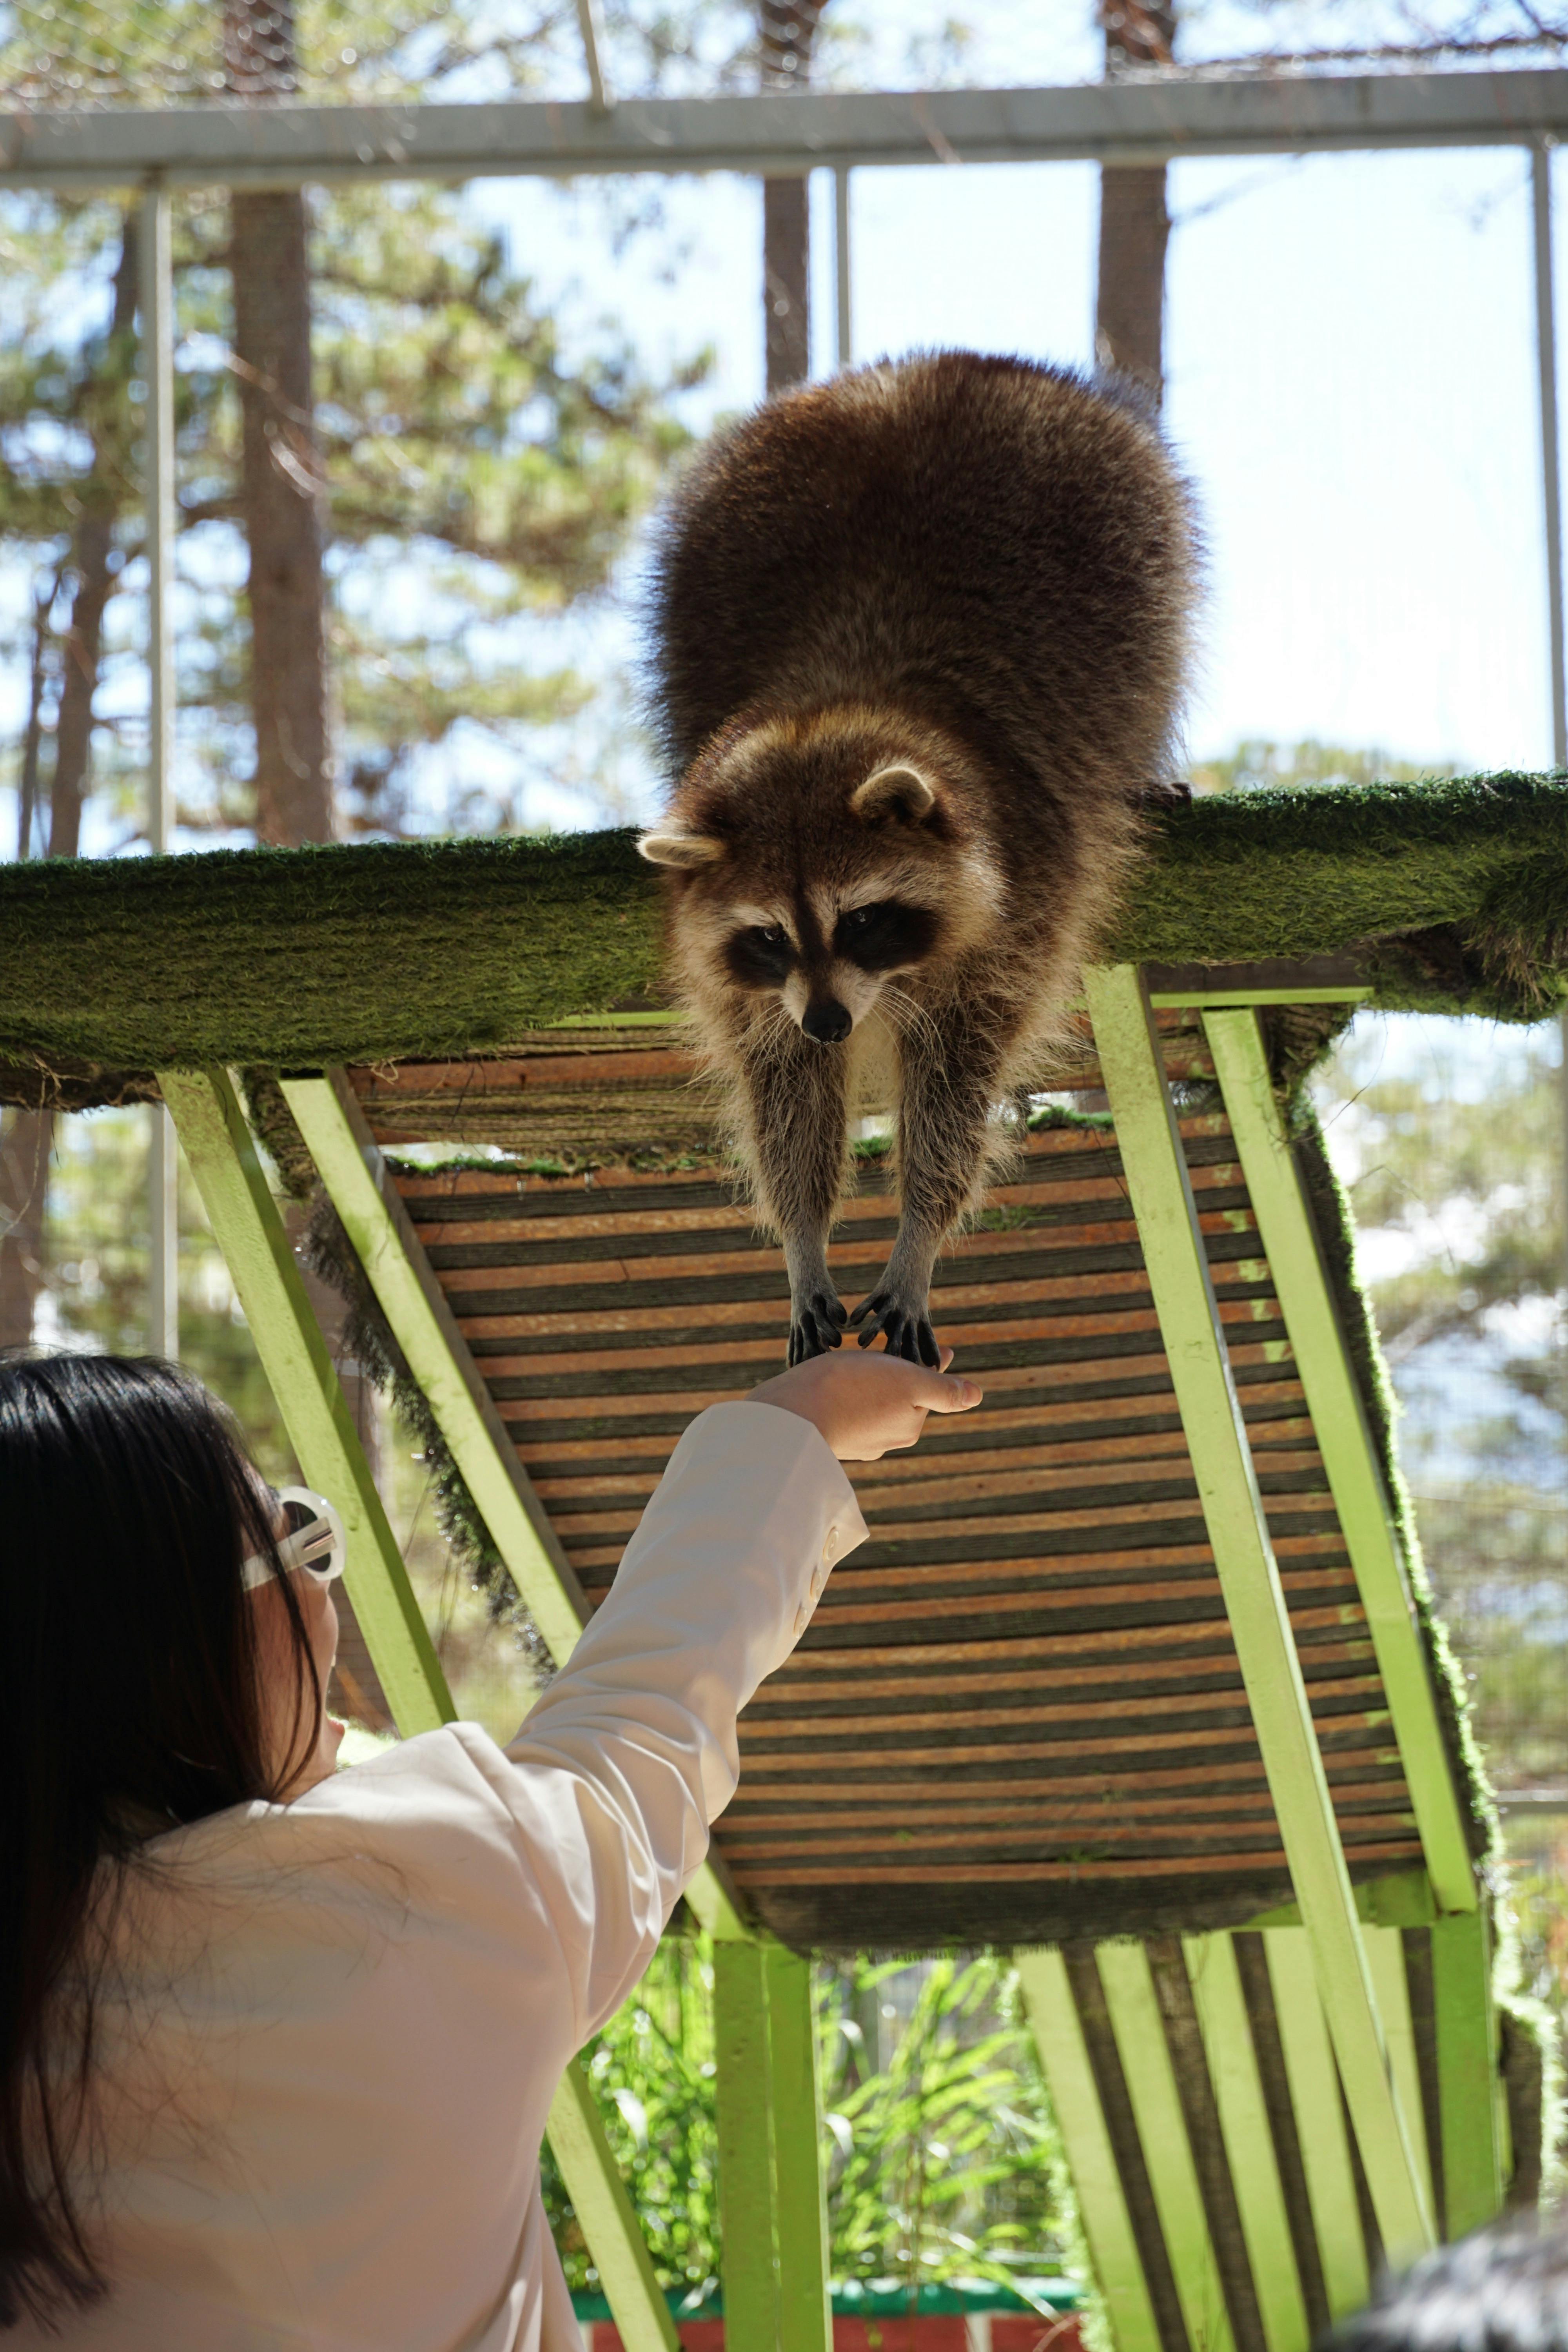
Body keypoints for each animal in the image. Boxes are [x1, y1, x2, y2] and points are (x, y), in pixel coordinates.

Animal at [638, 351, 1198, 1367]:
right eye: (769, 937)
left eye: (862, 919)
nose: (829, 1022)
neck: (830, 703)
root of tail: (938, 363)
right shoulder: (756, 994)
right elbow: (785, 1097)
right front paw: (803, 1241)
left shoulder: (1027, 904)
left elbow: (956, 1090)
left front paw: (918, 1237)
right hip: (696, 561)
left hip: (1136, 527)